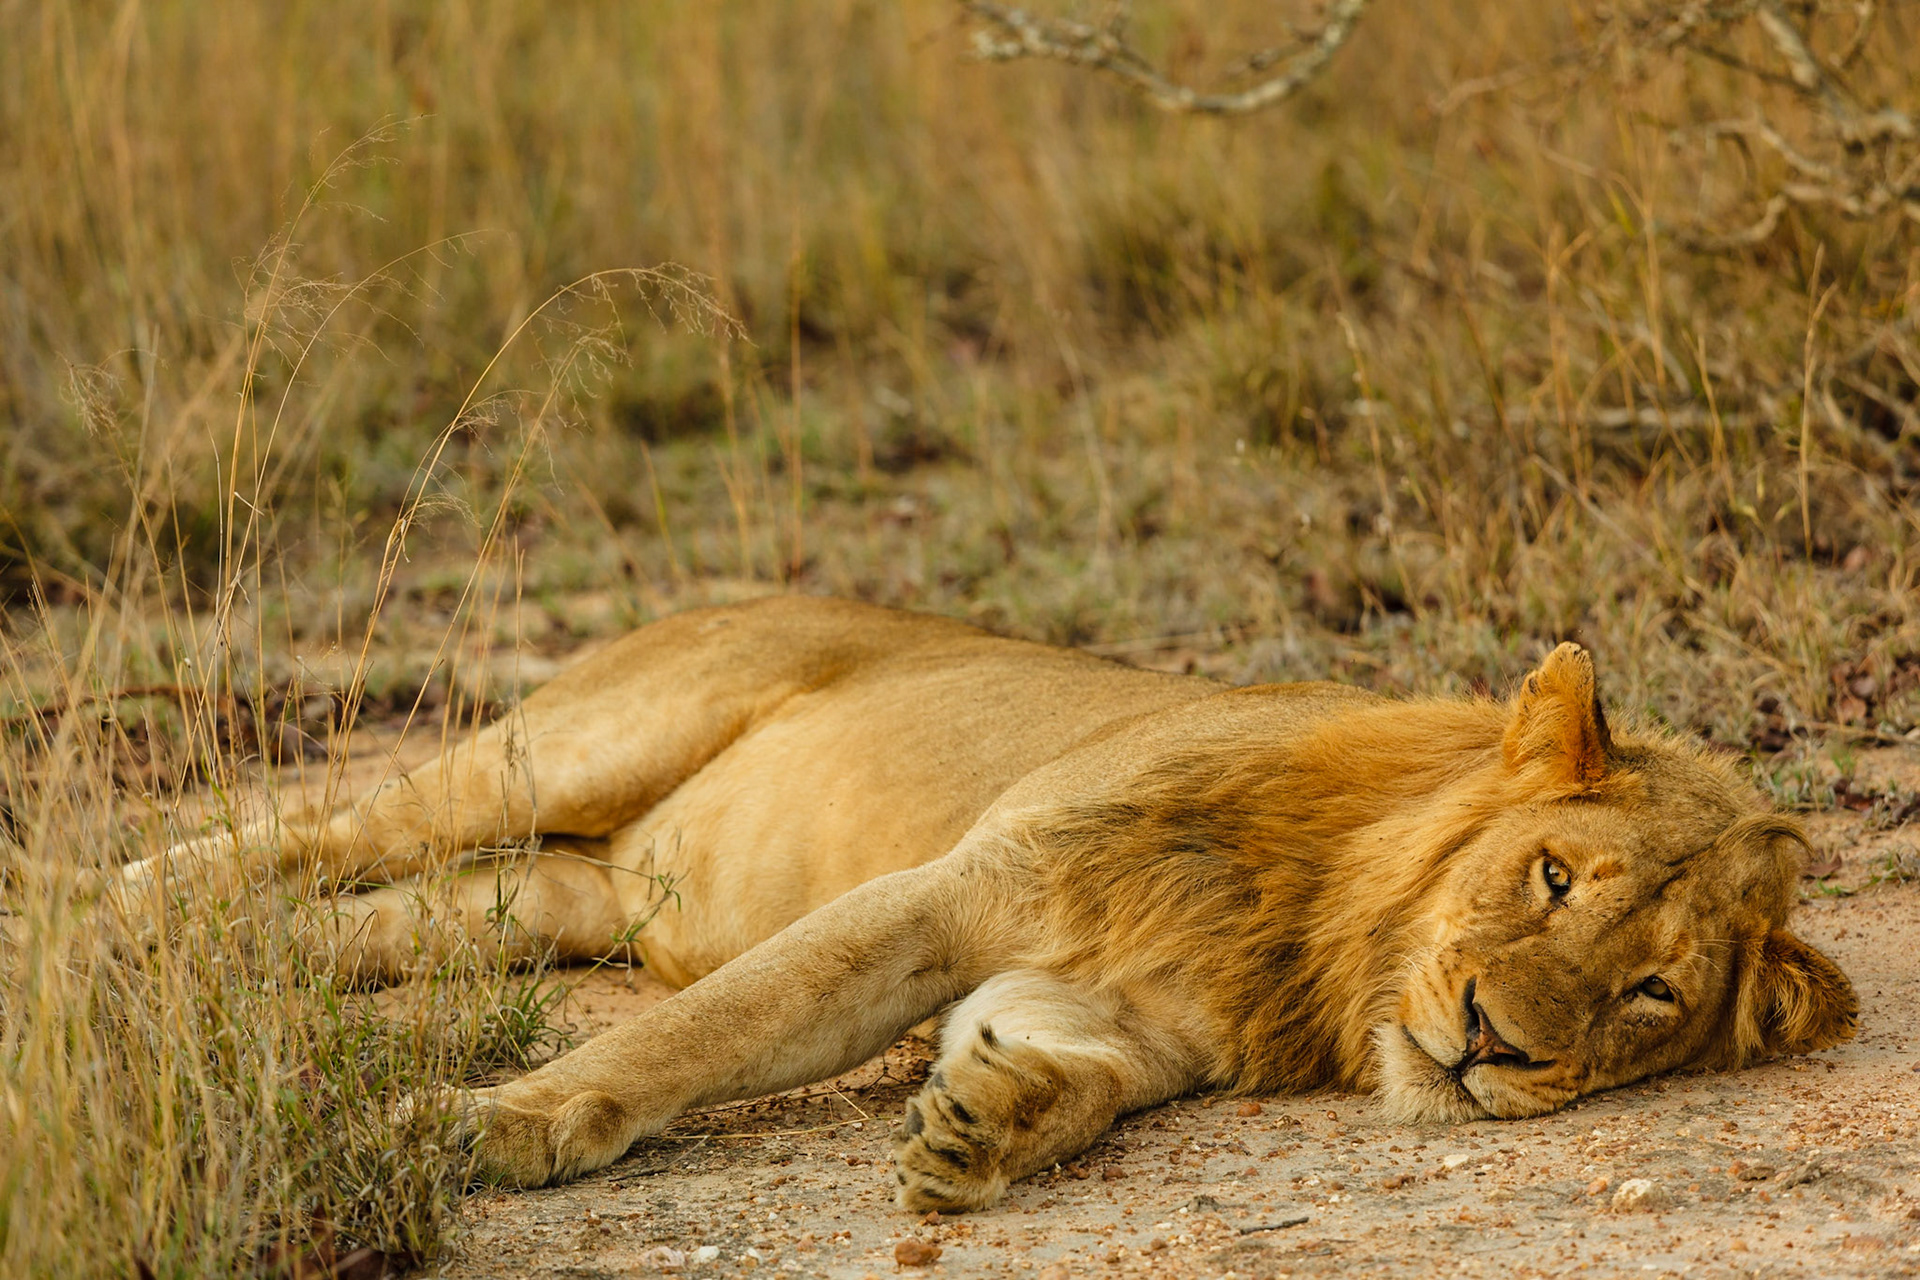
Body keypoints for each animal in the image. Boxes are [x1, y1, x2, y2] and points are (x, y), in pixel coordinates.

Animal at [116, 596, 1856, 1211]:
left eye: (1651, 996)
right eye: (1554, 875)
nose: (1497, 1043)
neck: (1318, 932)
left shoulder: (1141, 1014)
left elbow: (1076, 1075)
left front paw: (991, 1121)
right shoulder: (947, 892)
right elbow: (708, 1031)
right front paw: (493, 1130)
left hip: (560, 896)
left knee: (402, 913)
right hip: (584, 739)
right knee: (325, 829)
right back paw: (117, 904)